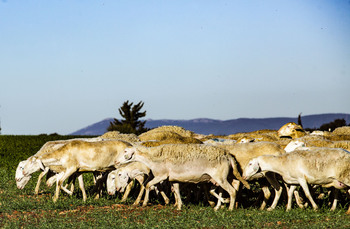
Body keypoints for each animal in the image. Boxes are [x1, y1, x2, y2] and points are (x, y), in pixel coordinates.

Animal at [115, 144, 249, 210]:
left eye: (125, 152)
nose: (116, 161)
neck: (152, 157)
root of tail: (228, 156)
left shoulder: (161, 175)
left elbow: (147, 185)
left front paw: (144, 203)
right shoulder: (173, 179)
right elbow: (177, 191)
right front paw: (179, 206)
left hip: (220, 177)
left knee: (232, 191)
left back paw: (230, 208)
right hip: (220, 178)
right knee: (219, 190)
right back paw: (220, 205)